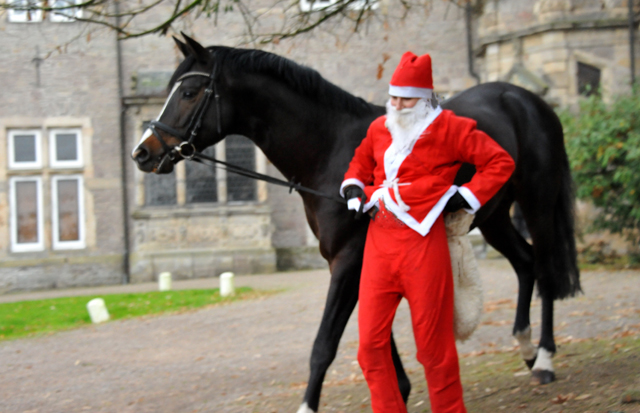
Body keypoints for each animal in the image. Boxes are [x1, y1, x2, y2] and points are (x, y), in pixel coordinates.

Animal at [130, 34, 580, 412]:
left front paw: (310, 406)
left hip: (537, 205)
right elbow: (375, 331)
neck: (330, 149)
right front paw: (399, 390)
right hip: (495, 217)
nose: (142, 152)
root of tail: (526, 99)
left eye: (189, 92)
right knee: (525, 262)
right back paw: (525, 349)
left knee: (543, 268)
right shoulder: (361, 262)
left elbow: (325, 344)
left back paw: (543, 359)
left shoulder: (348, 261)